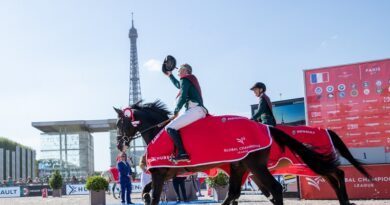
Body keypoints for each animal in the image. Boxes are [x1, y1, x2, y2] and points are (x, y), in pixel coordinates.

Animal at [113, 100, 342, 205]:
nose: (119, 144)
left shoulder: (160, 174)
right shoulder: (168, 173)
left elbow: (152, 196)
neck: (158, 131)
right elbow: (146, 192)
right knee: (236, 192)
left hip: (255, 166)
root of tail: (265, 127)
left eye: (119, 124)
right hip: (241, 166)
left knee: (275, 189)